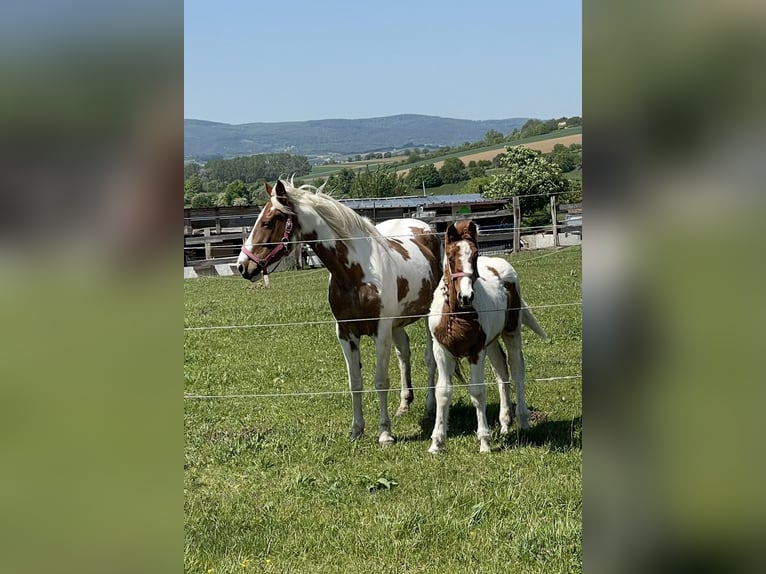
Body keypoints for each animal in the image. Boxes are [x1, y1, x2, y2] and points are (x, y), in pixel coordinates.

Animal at [236, 178, 442, 444]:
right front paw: (356, 430)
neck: (356, 273)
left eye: (268, 222)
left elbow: (380, 380)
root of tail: (424, 228)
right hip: (396, 324)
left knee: (429, 359)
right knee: (404, 354)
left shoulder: (380, 331)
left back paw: (429, 408)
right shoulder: (345, 333)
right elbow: (355, 381)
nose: (243, 266)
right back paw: (404, 405)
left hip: (426, 317)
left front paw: (385, 433)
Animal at [428, 220, 546, 453]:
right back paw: (505, 424)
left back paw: (523, 422)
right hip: (491, 342)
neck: (457, 315)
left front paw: (484, 442)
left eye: (475, 255)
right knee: (502, 371)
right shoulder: (441, 350)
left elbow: (477, 391)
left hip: (511, 333)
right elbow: (442, 392)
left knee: (517, 370)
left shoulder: (475, 352)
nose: (466, 296)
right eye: (451, 256)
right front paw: (436, 443)